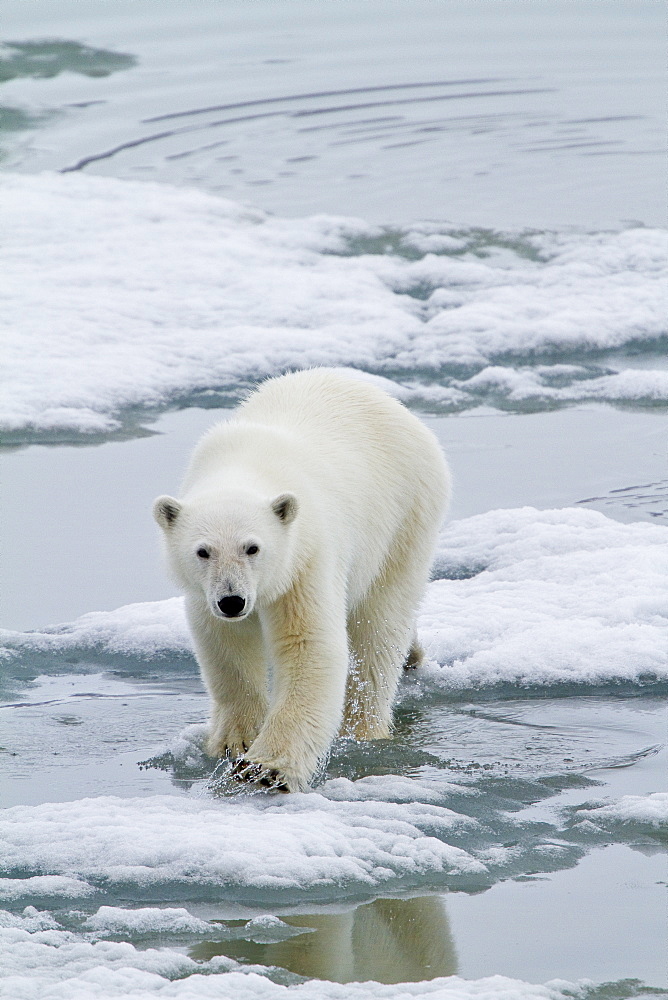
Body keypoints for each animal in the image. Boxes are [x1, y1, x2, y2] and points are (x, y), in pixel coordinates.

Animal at [154, 372, 452, 792]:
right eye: (202, 551)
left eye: (253, 547)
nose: (232, 601)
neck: (246, 464)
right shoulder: (204, 593)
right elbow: (225, 646)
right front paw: (235, 741)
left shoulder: (305, 557)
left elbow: (309, 646)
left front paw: (267, 768)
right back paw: (414, 653)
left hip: (405, 518)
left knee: (379, 627)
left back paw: (364, 729)